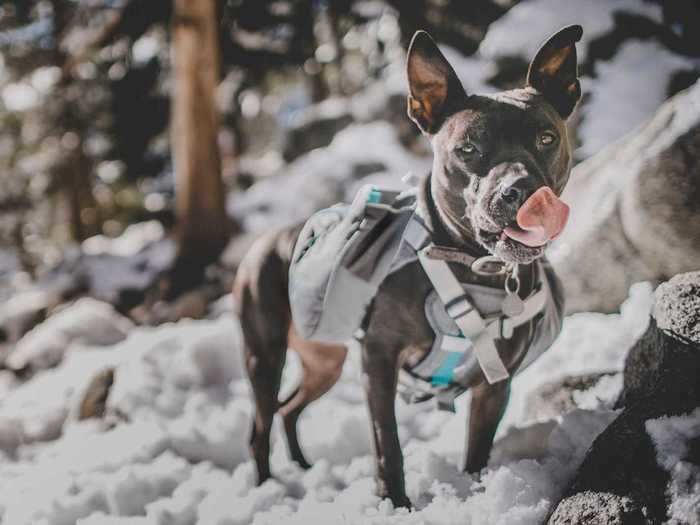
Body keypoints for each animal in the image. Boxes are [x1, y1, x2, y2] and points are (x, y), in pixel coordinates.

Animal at [232, 25, 584, 508]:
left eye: (546, 138)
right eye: (467, 149)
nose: (520, 190)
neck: (471, 268)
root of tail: (263, 240)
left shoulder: (494, 384)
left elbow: (478, 451)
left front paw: (475, 494)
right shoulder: (378, 361)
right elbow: (388, 445)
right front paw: (395, 504)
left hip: (324, 362)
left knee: (289, 409)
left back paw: (302, 469)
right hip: (264, 354)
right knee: (260, 426)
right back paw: (267, 490)